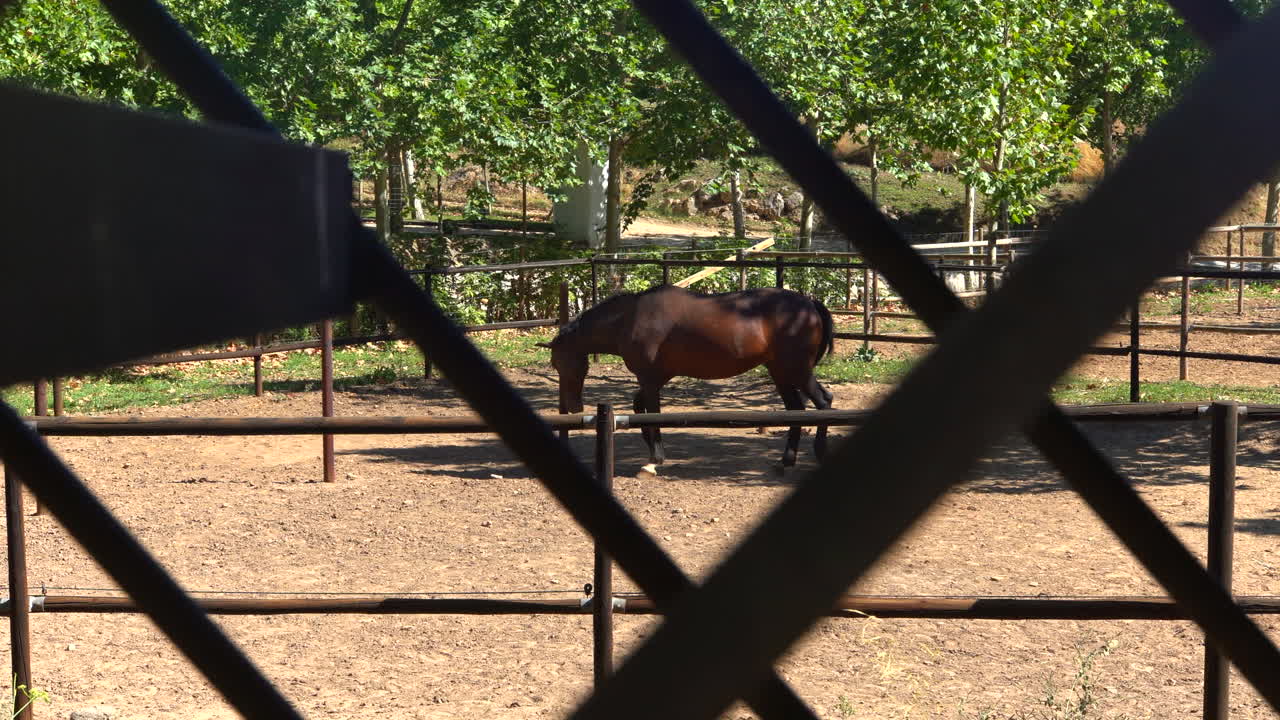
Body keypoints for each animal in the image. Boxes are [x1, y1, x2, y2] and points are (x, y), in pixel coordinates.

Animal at [536, 285, 835, 467]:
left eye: (559, 363)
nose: (573, 407)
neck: (630, 318)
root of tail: (809, 303)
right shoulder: (657, 378)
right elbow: (639, 407)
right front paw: (649, 444)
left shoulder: (649, 379)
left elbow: (653, 414)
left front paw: (656, 456)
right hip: (781, 372)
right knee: (797, 410)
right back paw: (787, 460)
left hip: (797, 370)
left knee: (823, 403)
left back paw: (819, 452)